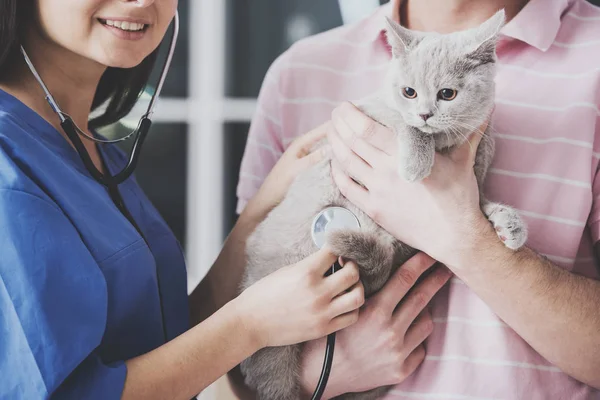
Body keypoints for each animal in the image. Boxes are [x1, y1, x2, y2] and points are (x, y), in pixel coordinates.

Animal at [239, 10, 524, 400]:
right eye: (409, 92)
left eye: (447, 94)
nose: (424, 114)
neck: (449, 144)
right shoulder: (369, 117)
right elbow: (404, 127)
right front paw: (415, 162)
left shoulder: (473, 185)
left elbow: (480, 204)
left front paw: (509, 225)